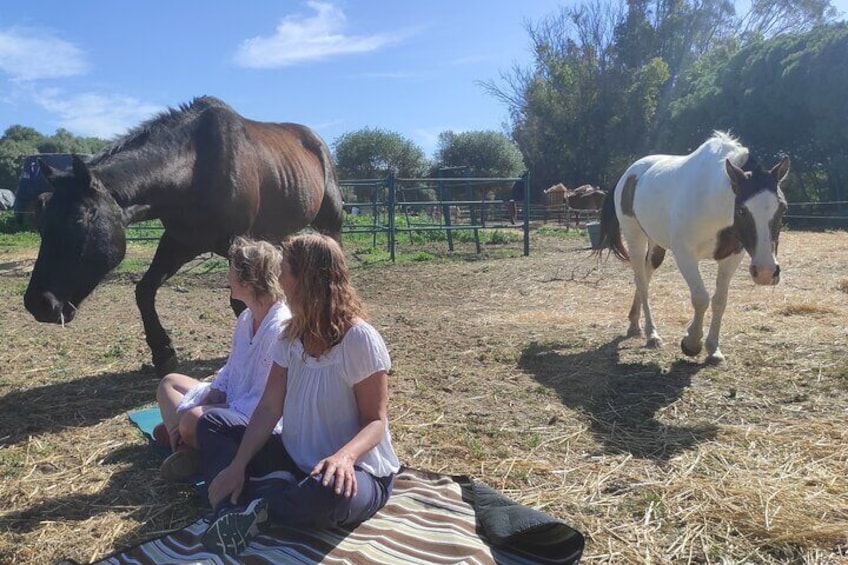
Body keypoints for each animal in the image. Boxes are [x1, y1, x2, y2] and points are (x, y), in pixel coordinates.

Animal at [26, 97, 344, 374]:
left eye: (79, 219)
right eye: (42, 221)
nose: (38, 303)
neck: (194, 168)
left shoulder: (237, 242)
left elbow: (240, 304)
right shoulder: (179, 241)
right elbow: (145, 290)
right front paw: (163, 353)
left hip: (330, 222)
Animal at [596, 131, 788, 364]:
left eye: (783, 208)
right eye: (742, 210)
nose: (766, 272)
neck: (712, 201)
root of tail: (628, 175)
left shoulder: (732, 258)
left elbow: (719, 301)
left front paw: (713, 349)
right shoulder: (685, 255)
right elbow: (701, 298)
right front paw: (691, 343)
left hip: (656, 245)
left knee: (646, 276)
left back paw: (634, 324)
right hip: (635, 239)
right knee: (641, 281)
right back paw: (652, 334)